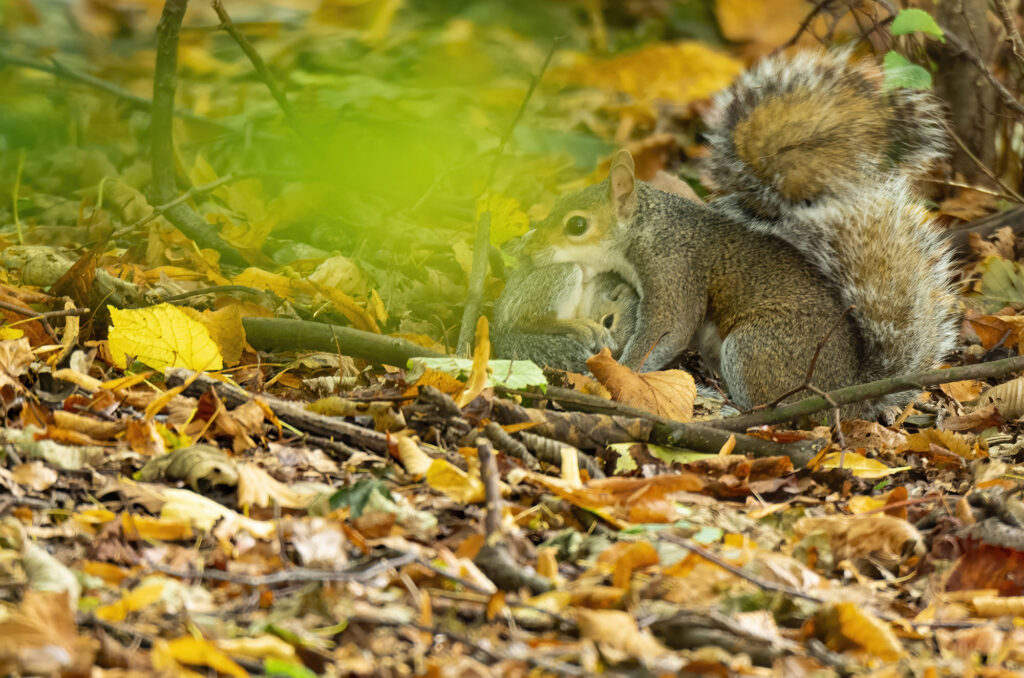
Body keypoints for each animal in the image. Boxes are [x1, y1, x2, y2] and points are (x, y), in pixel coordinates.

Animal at [494, 49, 957, 416]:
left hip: (757, 348)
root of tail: (847, 393)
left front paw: (623, 372)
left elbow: (668, 326)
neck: (648, 227)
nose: (529, 250)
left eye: (576, 225)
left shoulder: (674, 269)